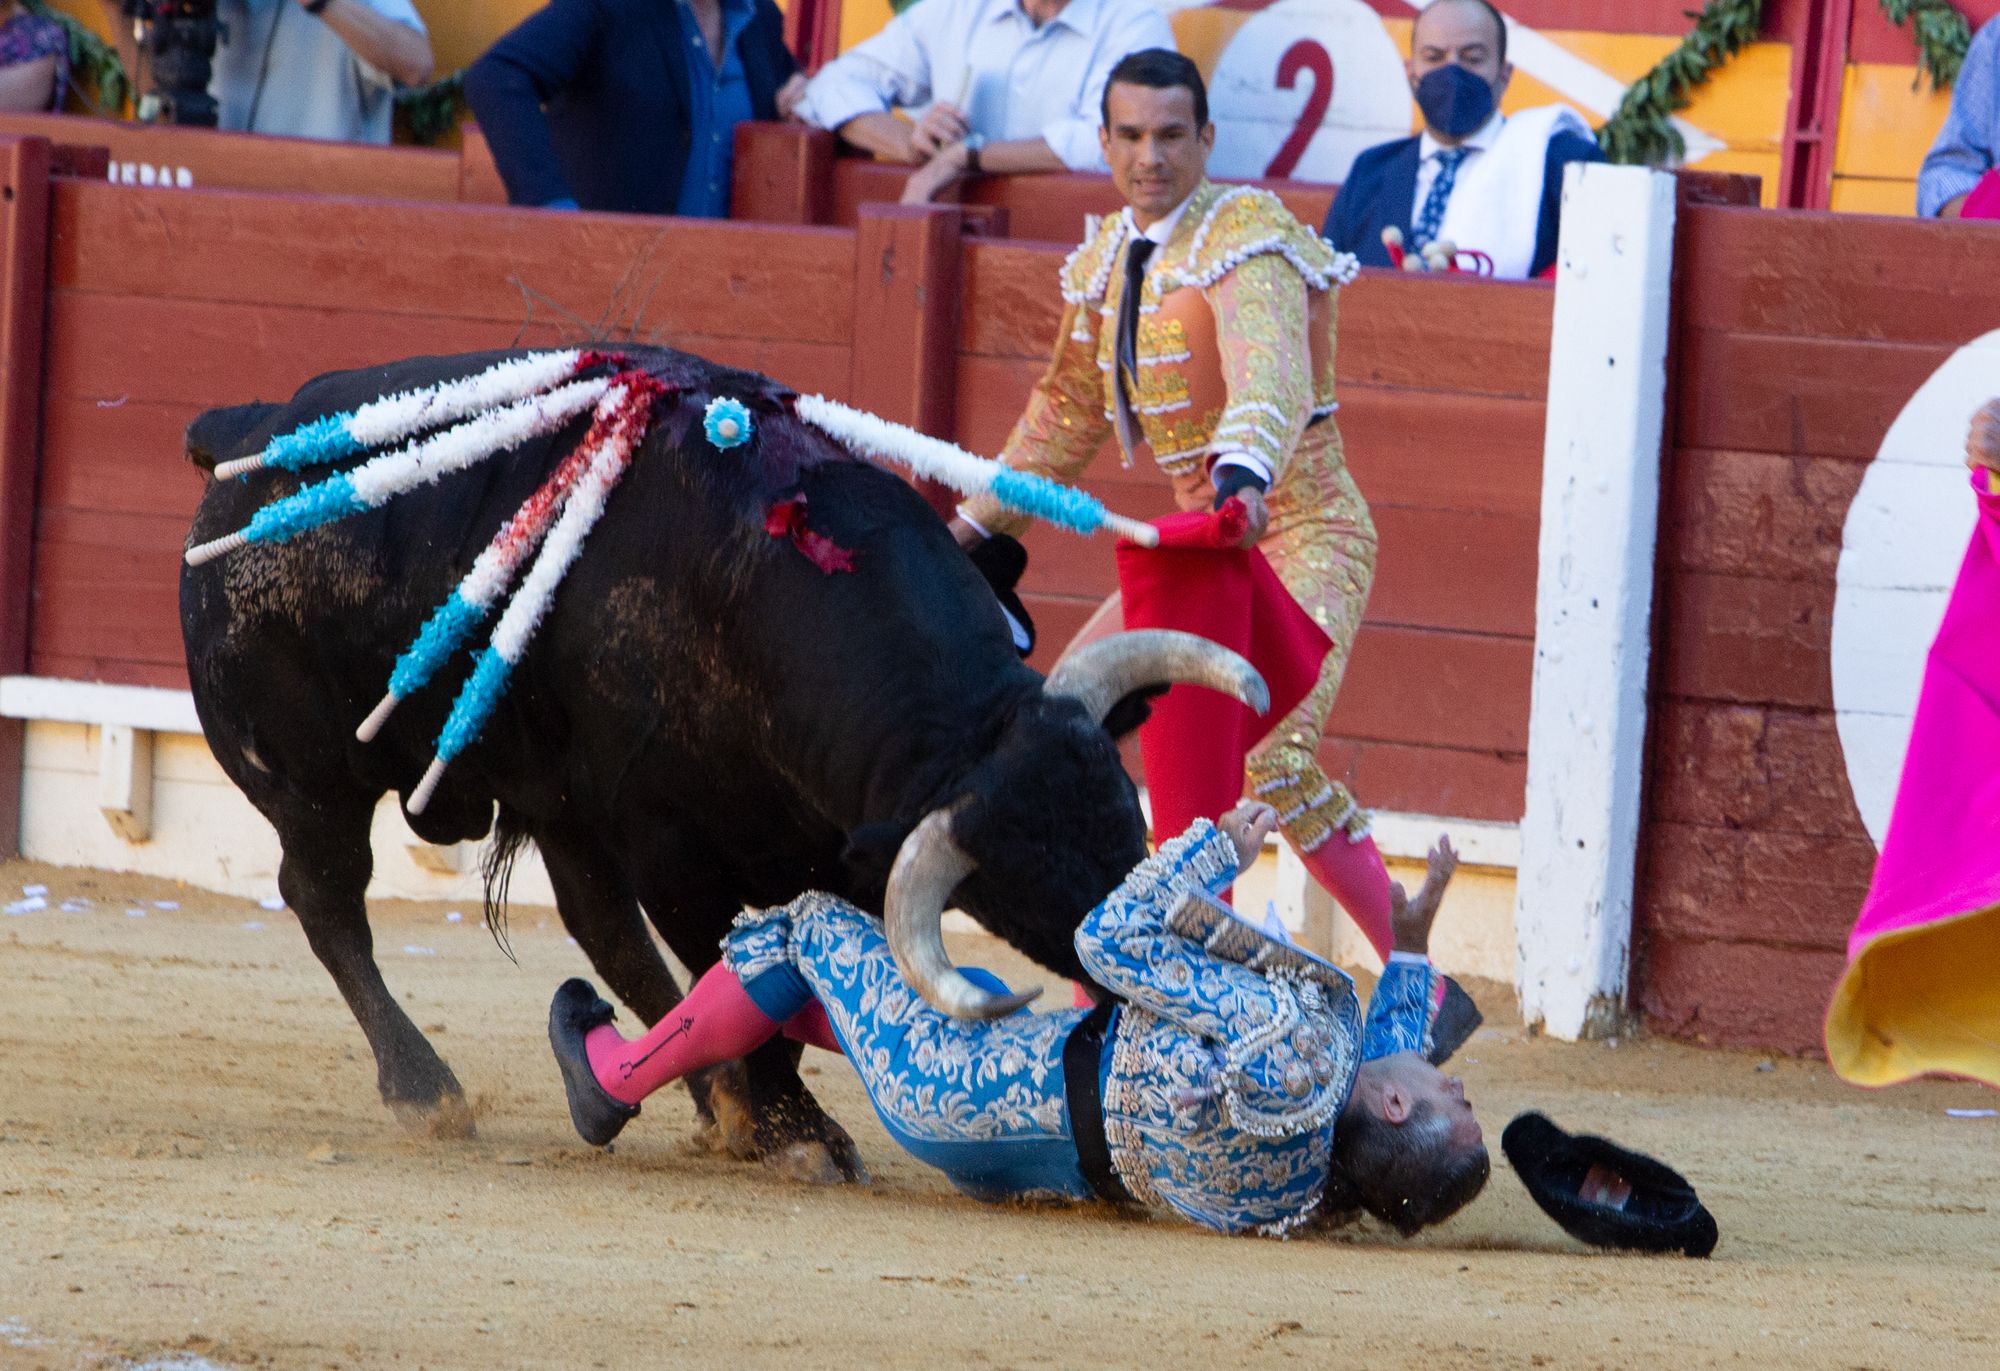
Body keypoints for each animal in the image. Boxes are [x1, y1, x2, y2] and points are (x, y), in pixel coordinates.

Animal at [184, 345, 1216, 1183]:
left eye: (1128, 820)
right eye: (1015, 885)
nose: (1148, 952)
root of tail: (248, 427)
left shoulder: (815, 852)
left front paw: (761, 1116)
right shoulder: (668, 846)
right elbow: (730, 964)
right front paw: (796, 1132)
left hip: (557, 803)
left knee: (599, 926)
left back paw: (707, 1103)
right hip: (312, 781)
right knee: (327, 899)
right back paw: (426, 1090)